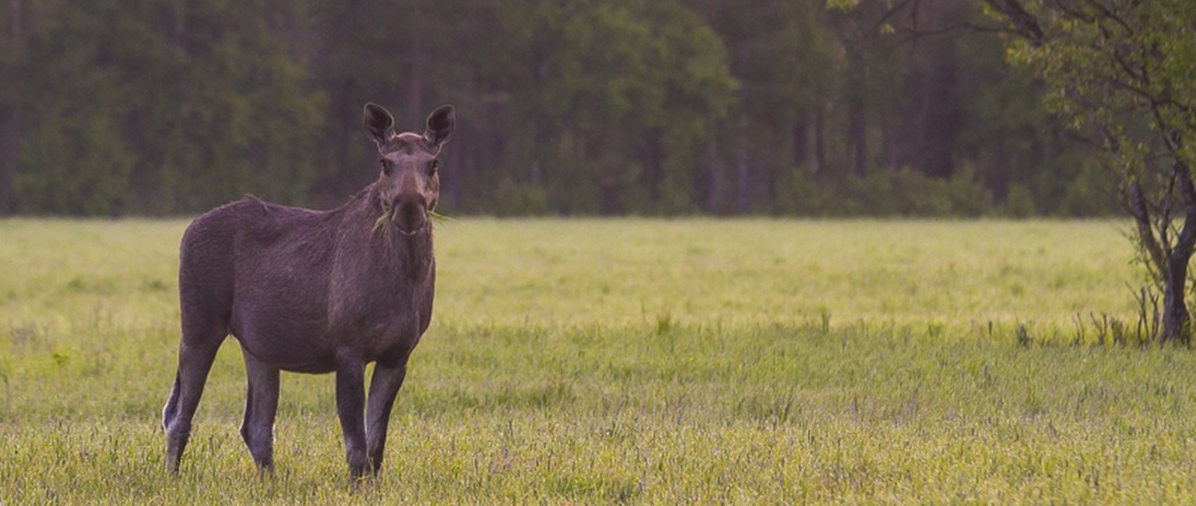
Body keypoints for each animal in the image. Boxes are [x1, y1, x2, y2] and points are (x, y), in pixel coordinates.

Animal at [161, 103, 454, 480]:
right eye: (384, 163)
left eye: (433, 163)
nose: (408, 206)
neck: (405, 281)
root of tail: (188, 229)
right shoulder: (348, 347)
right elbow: (356, 448)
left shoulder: (398, 353)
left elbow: (376, 448)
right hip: (199, 325)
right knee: (178, 414)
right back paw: (172, 478)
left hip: (259, 348)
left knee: (255, 426)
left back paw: (270, 483)